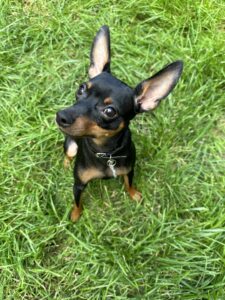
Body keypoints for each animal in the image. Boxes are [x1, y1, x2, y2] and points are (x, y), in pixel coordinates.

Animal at [55, 25, 183, 221]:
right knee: (68, 154)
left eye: (110, 111)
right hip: (71, 145)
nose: (61, 116)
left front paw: (134, 194)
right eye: (81, 89)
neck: (106, 152)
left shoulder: (129, 170)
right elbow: (77, 202)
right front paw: (75, 216)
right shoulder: (78, 184)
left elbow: (129, 183)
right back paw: (66, 164)